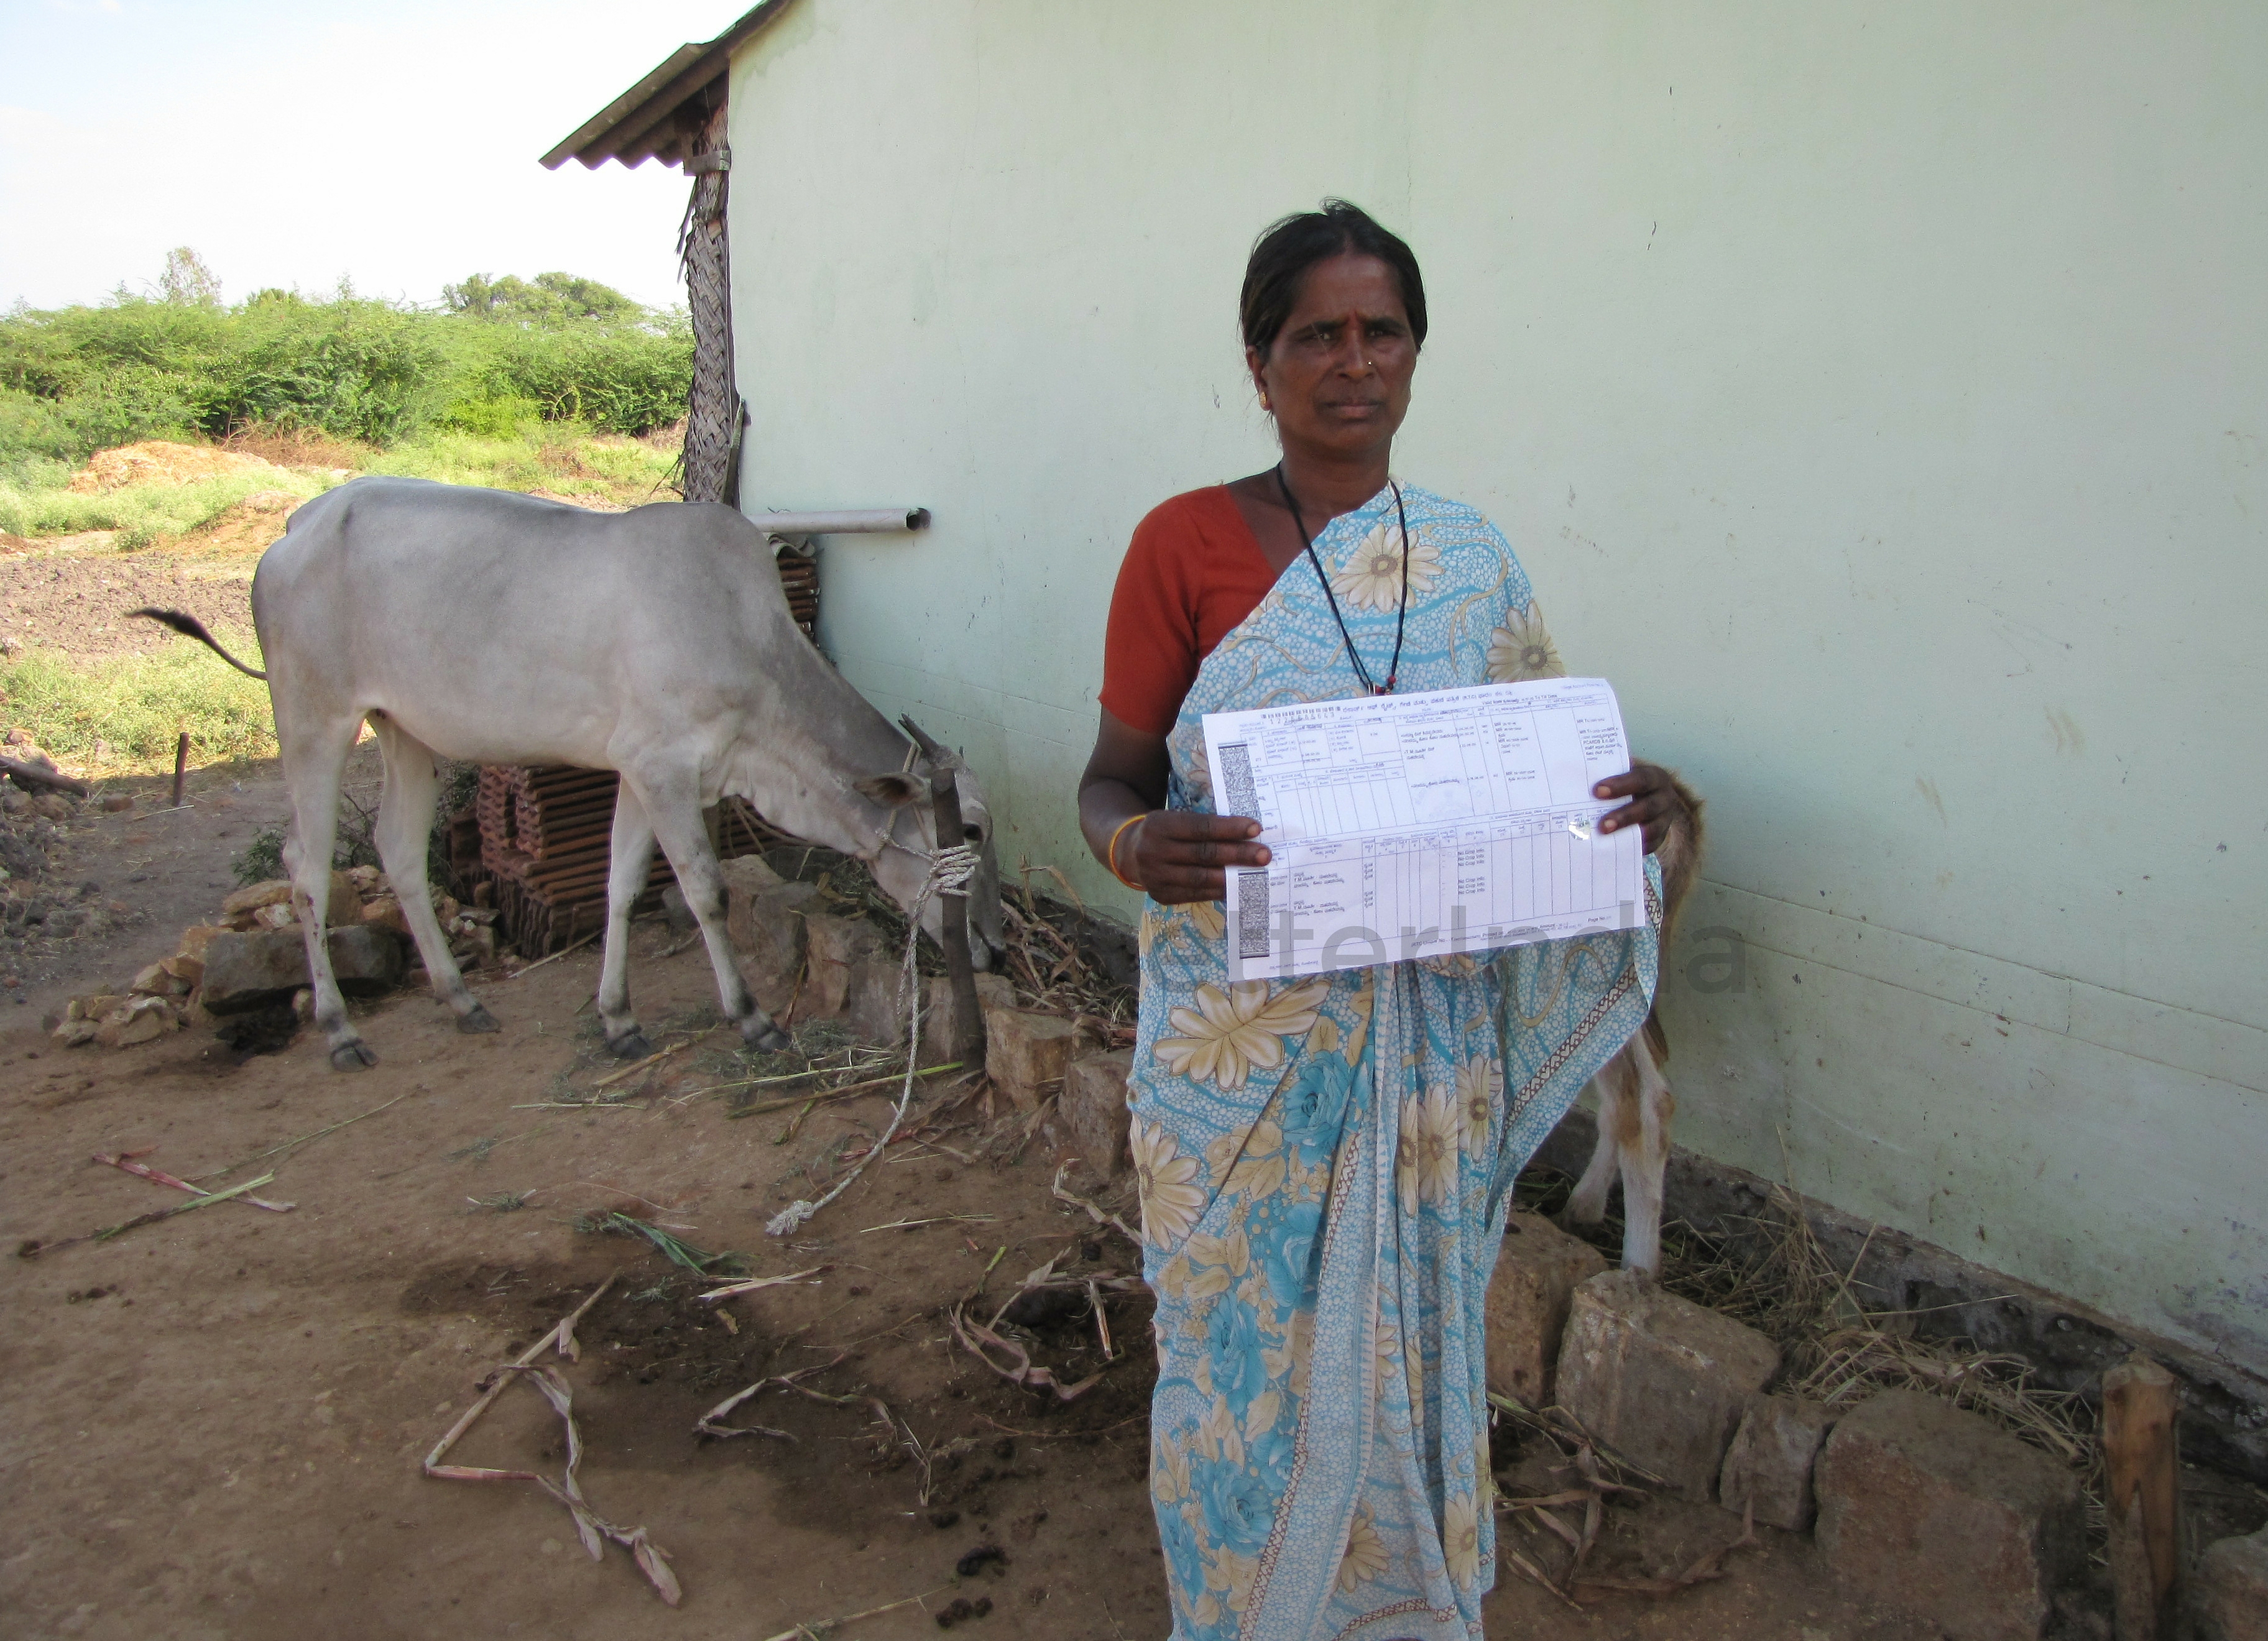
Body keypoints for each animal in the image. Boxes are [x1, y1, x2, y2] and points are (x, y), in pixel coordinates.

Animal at [137, 478, 998, 1065]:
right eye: (972, 828)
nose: (990, 945)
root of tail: (298, 525)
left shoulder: (643, 773)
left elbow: (623, 886)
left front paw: (619, 1018)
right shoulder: (663, 769)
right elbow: (706, 891)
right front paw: (750, 1017)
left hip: (404, 732)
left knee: (399, 850)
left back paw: (460, 999)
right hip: (313, 719)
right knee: (306, 866)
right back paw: (340, 1029)